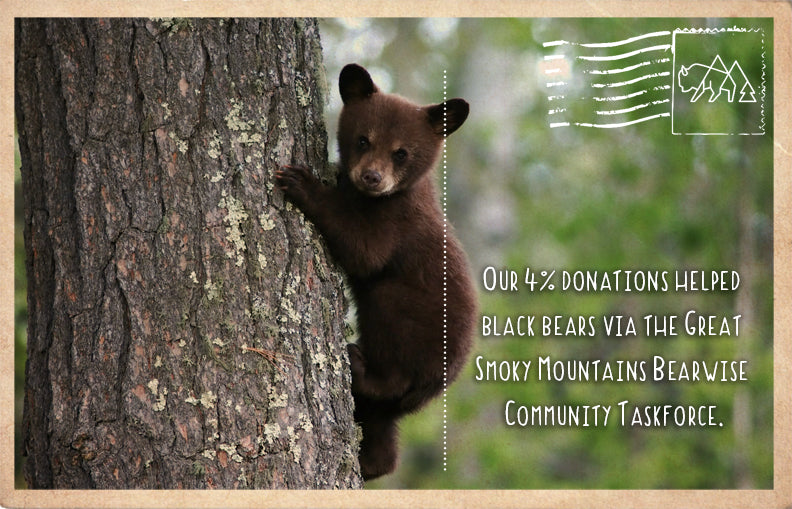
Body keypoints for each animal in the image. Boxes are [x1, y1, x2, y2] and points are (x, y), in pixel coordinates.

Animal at [276, 63, 476, 481]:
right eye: (363, 140)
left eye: (401, 153)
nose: (372, 177)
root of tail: (435, 387)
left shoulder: (397, 222)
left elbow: (364, 251)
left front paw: (302, 183)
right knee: (382, 429)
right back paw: (371, 463)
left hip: (410, 323)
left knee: (390, 356)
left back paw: (358, 363)